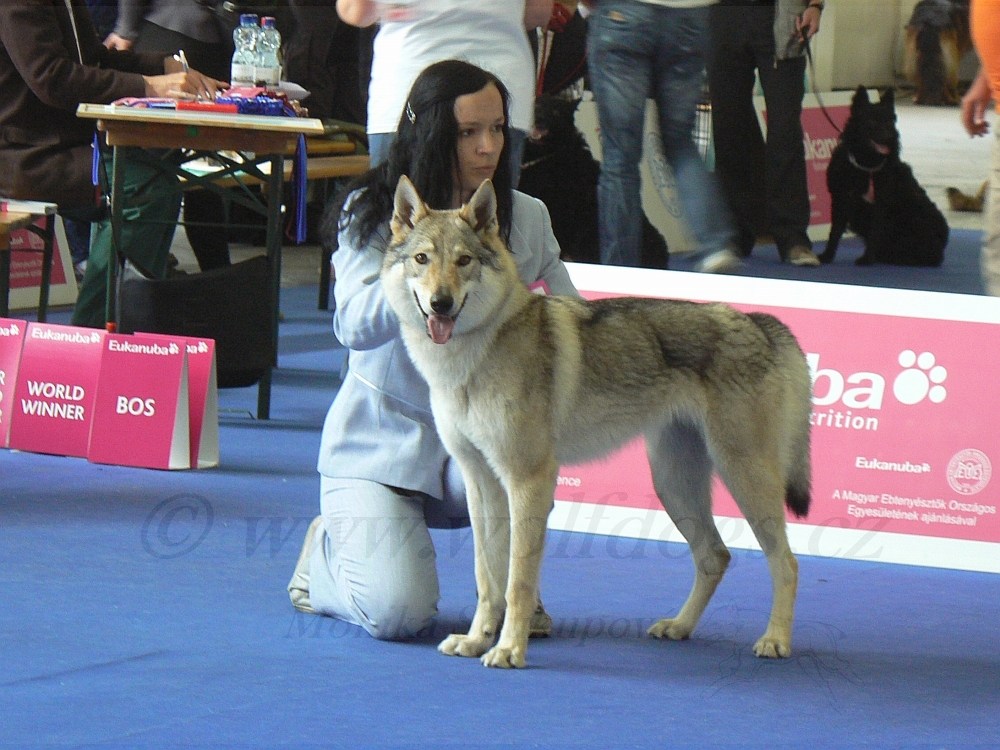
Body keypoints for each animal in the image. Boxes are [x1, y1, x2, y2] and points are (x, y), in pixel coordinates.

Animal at [816, 87, 948, 268]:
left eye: (889, 122)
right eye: (872, 121)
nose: (890, 137)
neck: (866, 165)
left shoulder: (880, 204)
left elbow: (874, 232)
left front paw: (867, 259)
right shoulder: (840, 199)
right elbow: (834, 232)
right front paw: (827, 256)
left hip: (915, 221)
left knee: (930, 255)